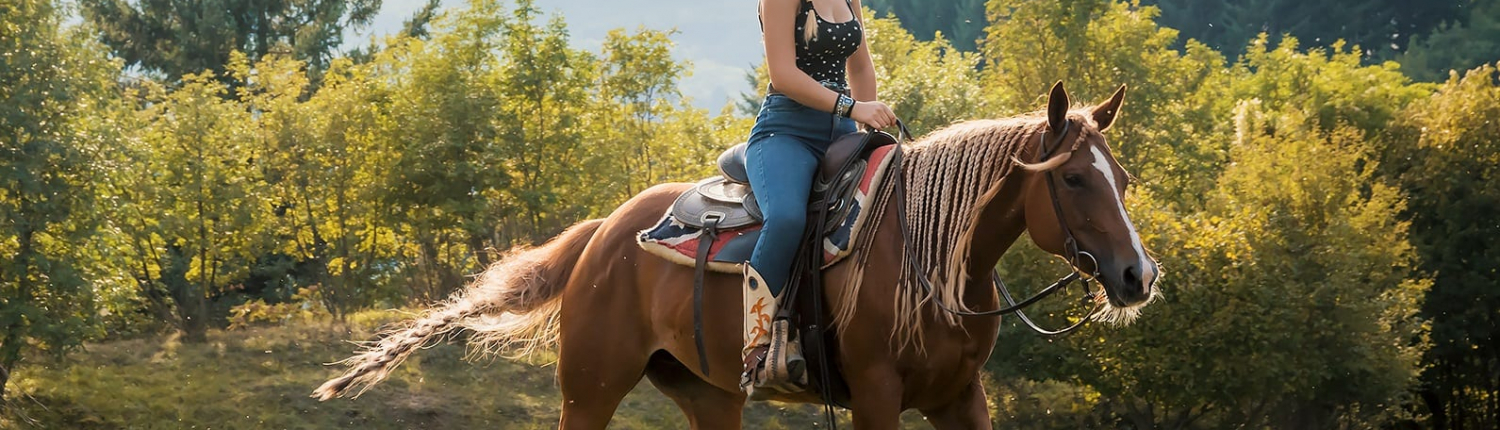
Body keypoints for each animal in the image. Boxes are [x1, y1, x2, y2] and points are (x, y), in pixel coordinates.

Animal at [313, 82, 1158, 428]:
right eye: (1075, 178)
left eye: (1121, 177)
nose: (1137, 276)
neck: (928, 257)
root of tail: (605, 233)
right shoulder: (876, 395)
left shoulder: (959, 397)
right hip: (589, 388)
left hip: (709, 394)